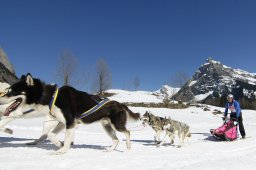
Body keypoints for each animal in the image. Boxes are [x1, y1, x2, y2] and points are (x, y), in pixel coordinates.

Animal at [0, 73, 140, 154]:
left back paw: (128, 146)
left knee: (127, 132)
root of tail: (120, 104)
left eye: (11, 91)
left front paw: (62, 150)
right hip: (107, 127)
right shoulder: (62, 123)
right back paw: (109, 150)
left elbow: (66, 139)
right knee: (116, 140)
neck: (51, 97)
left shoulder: (69, 122)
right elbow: (51, 135)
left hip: (117, 125)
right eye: (8, 90)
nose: (0, 98)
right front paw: (60, 144)